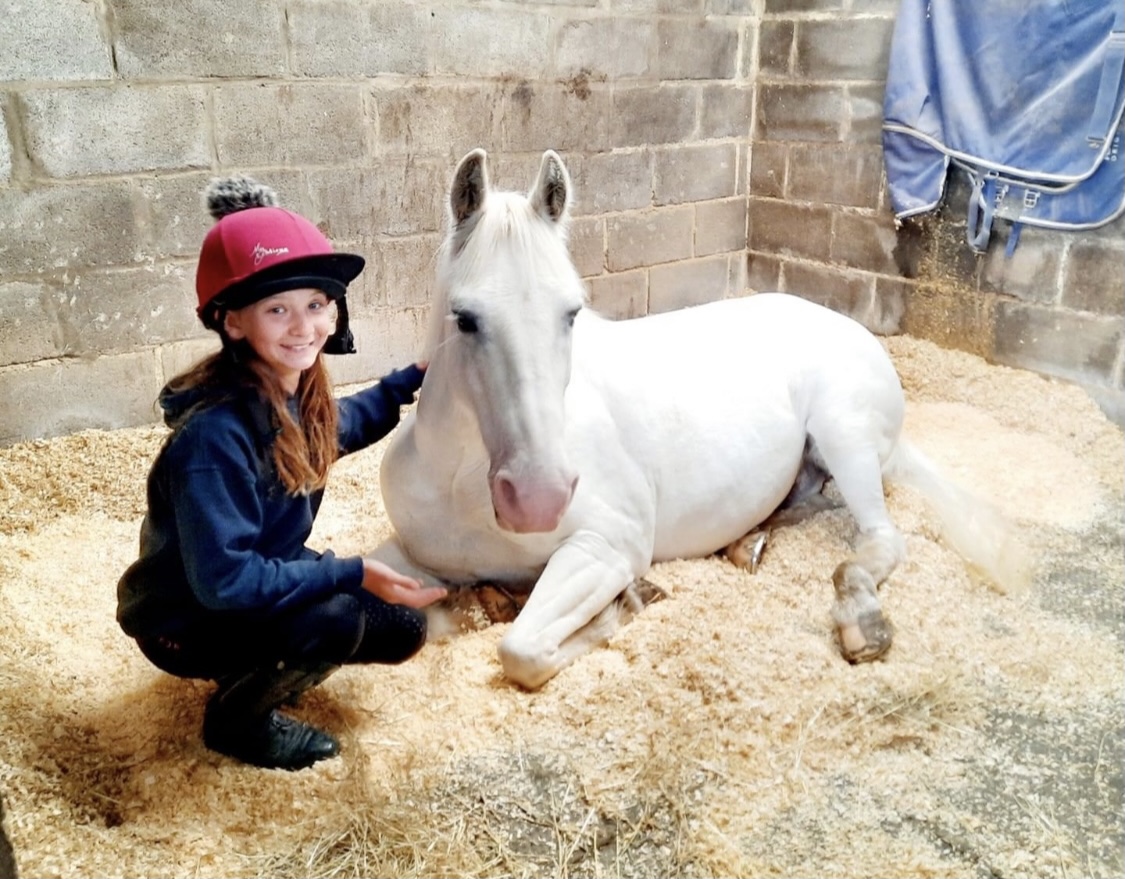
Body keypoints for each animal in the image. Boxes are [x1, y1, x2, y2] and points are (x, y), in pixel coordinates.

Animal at [371, 147, 1030, 688]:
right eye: (465, 318)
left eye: (572, 312)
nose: (539, 498)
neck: (461, 479)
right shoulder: (409, 558)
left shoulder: (606, 547)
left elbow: (522, 651)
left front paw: (629, 603)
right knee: (807, 502)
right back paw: (749, 543)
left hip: (847, 438)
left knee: (880, 538)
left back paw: (860, 622)